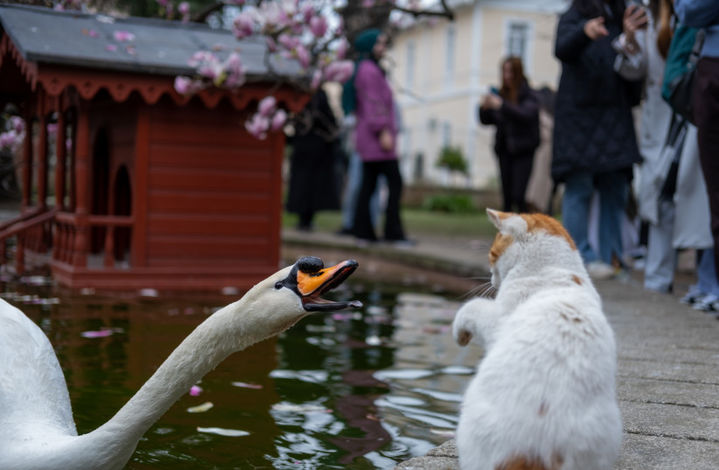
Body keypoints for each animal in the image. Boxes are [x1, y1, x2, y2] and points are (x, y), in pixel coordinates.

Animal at [452, 210, 620, 470]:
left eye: (491, 255)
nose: (491, 278)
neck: (555, 269)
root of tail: (539, 451)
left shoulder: (495, 321)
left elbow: (471, 307)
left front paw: (460, 334)